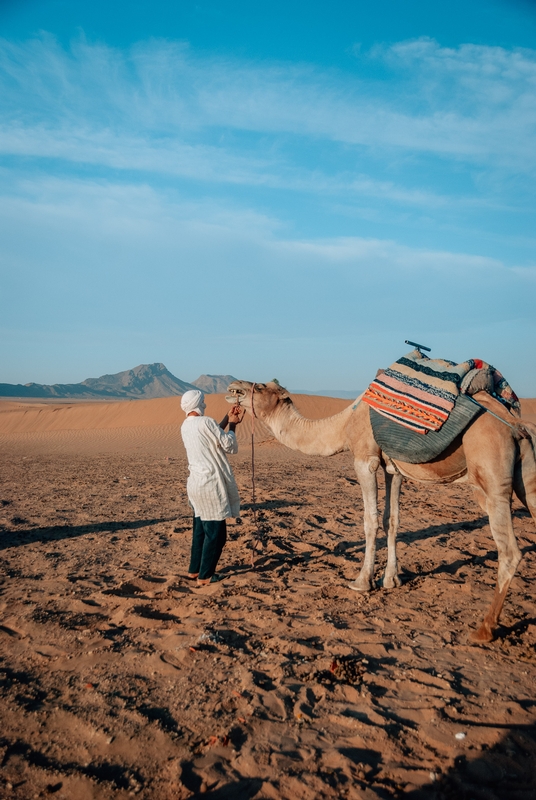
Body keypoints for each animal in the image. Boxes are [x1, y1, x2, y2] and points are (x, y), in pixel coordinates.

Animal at [226, 378, 536, 640]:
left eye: (260, 386)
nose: (233, 387)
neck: (344, 424)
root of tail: (516, 427)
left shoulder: (365, 460)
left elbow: (370, 520)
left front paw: (362, 581)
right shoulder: (393, 468)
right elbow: (392, 520)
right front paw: (391, 579)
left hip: (491, 476)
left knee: (509, 551)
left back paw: (484, 629)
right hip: (527, 476)